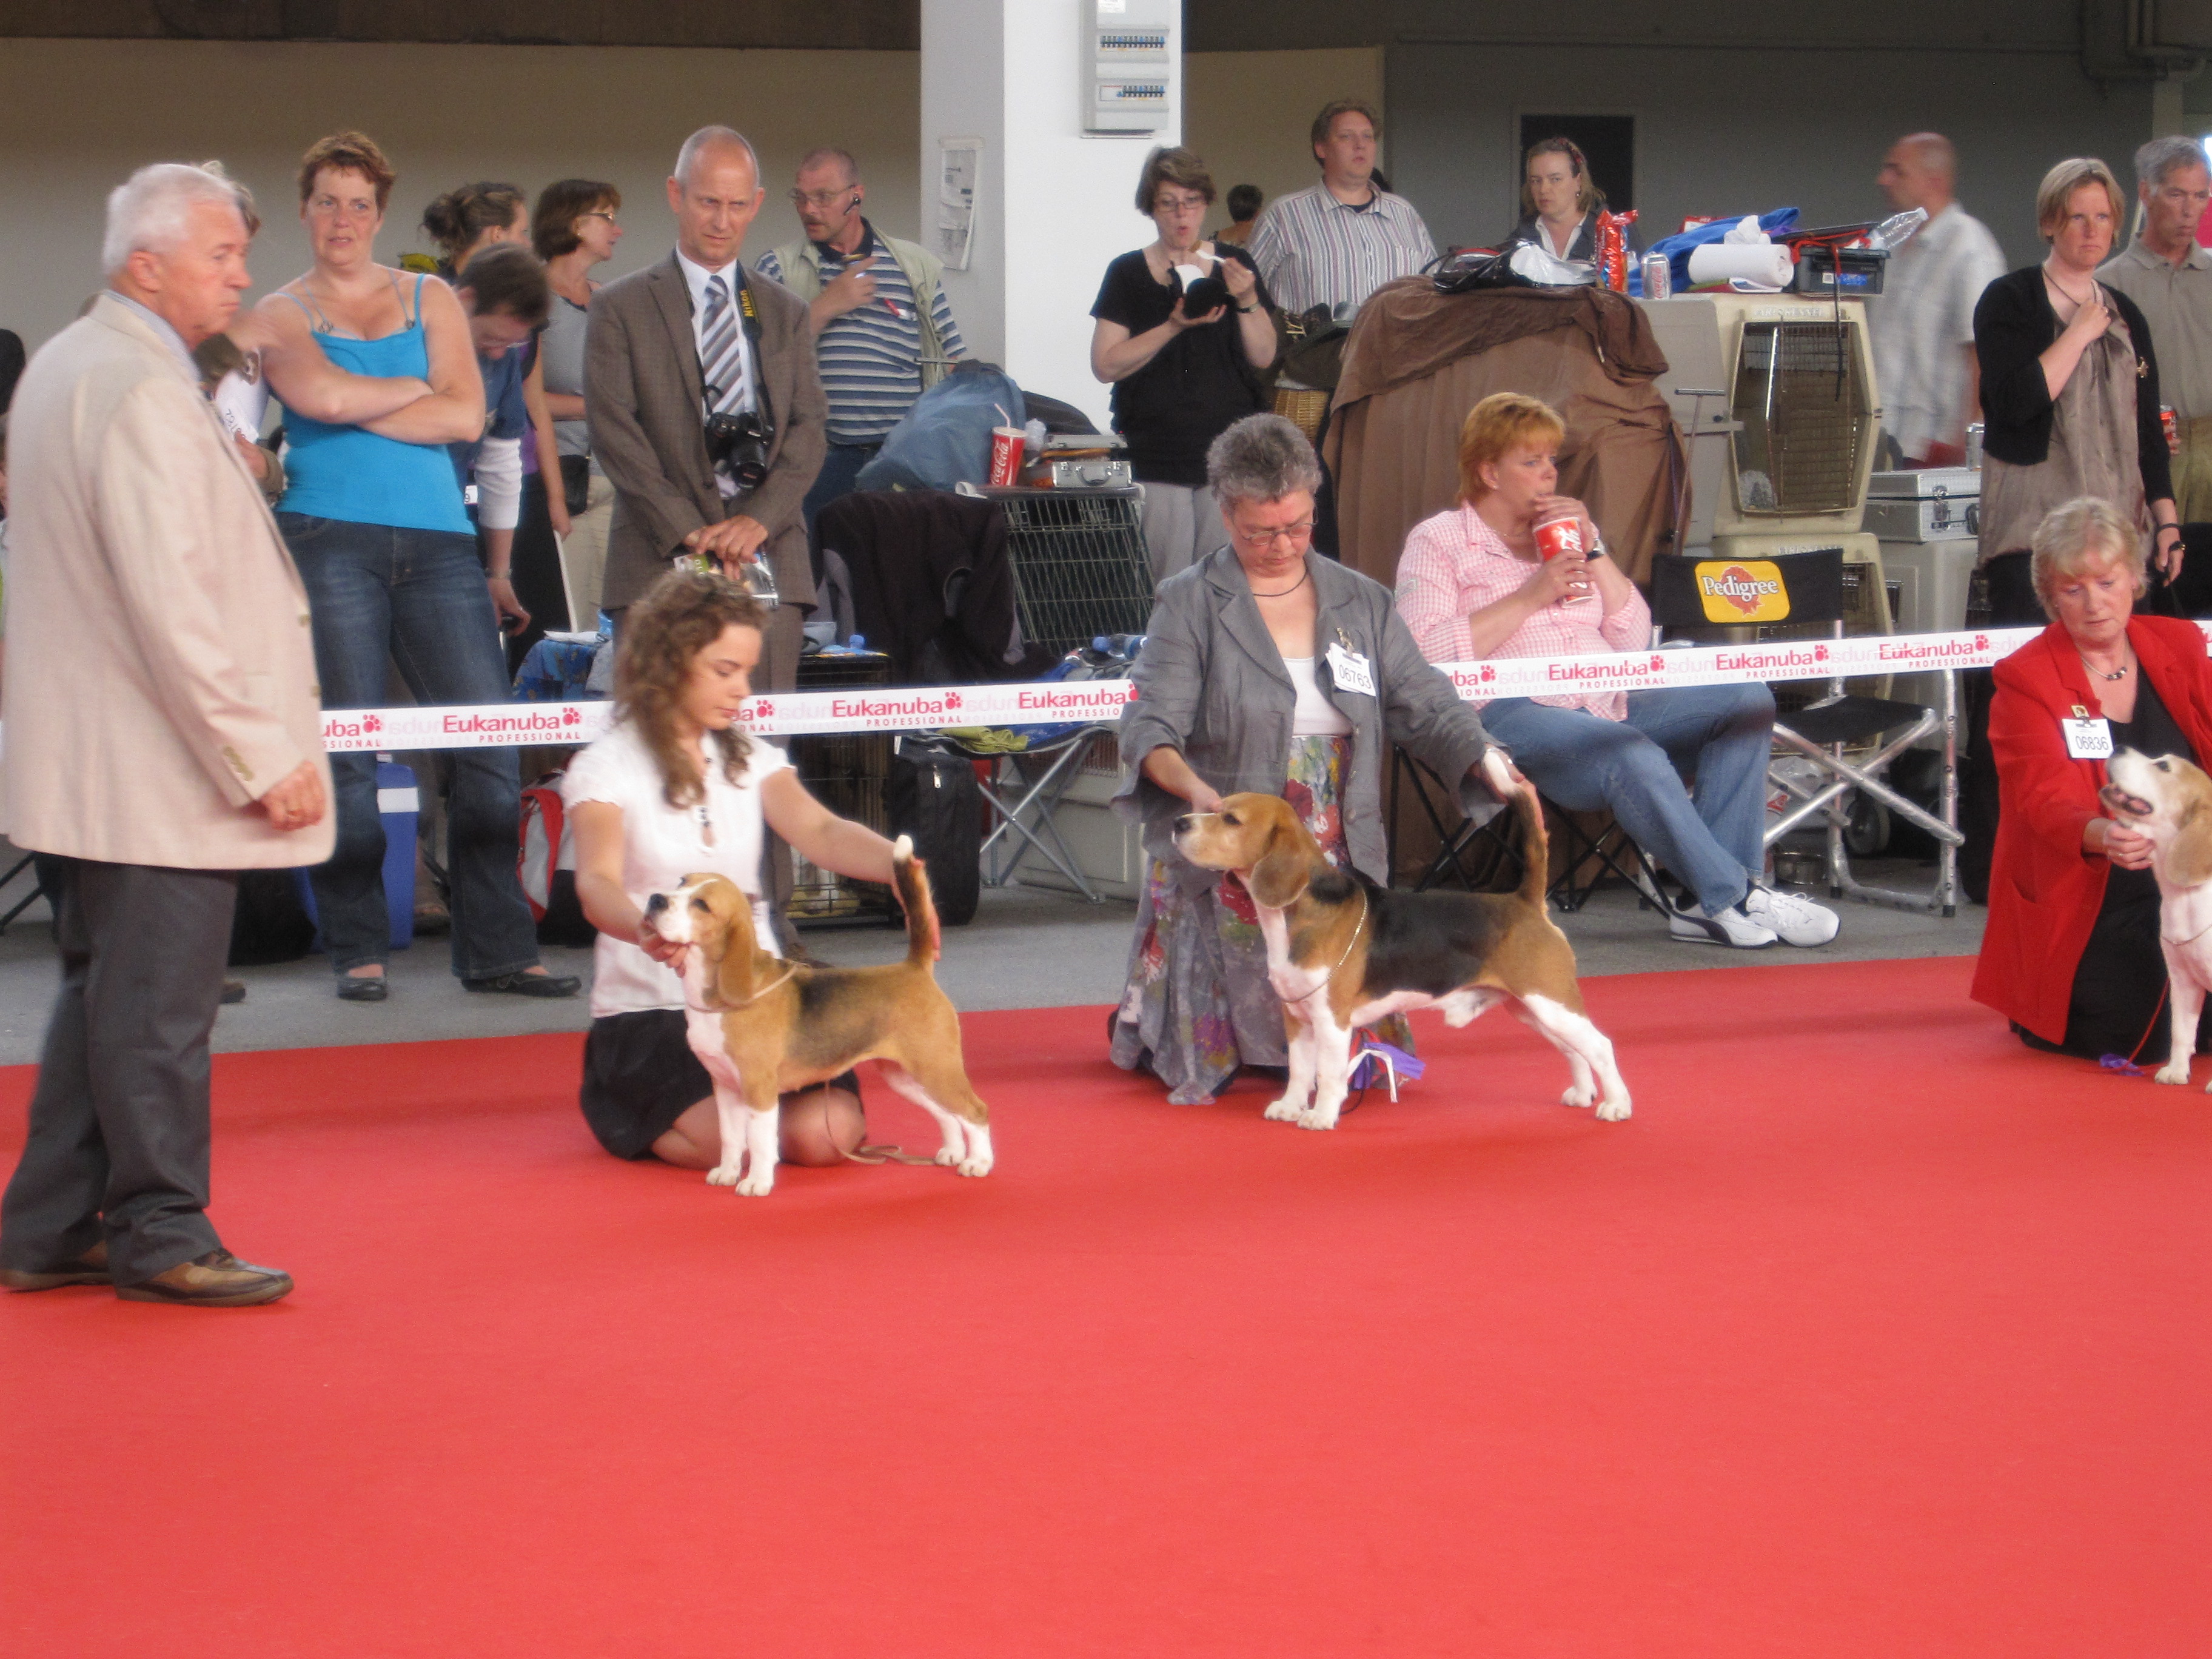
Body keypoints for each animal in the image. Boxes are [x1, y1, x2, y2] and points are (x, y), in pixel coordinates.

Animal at [637, 845, 991, 1194]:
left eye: (702, 904)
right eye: (682, 881)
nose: (655, 899)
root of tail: (914, 968)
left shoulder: (759, 1088)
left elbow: (760, 1141)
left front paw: (757, 1182)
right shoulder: (725, 1087)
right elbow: (731, 1137)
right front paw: (728, 1172)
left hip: (936, 1068)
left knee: (976, 1111)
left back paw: (979, 1163)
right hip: (906, 1076)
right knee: (947, 1113)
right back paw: (954, 1152)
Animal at [1176, 752, 1627, 1132]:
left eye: (1231, 820)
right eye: (1216, 809)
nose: (1180, 822)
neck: (1296, 914)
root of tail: (1526, 901)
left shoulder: (1331, 1020)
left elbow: (1327, 1073)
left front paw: (1321, 1115)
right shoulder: (1296, 1016)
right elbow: (1301, 1070)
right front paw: (1290, 1107)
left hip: (1550, 1000)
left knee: (1601, 1045)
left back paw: (1617, 1105)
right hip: (1533, 1007)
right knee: (1574, 1050)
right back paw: (1583, 1093)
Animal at [2088, 752, 2212, 1093]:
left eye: (2164, 766)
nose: (2119, 749)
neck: (2184, 897)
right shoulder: (2182, 979)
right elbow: (2181, 1031)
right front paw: (2176, 1071)